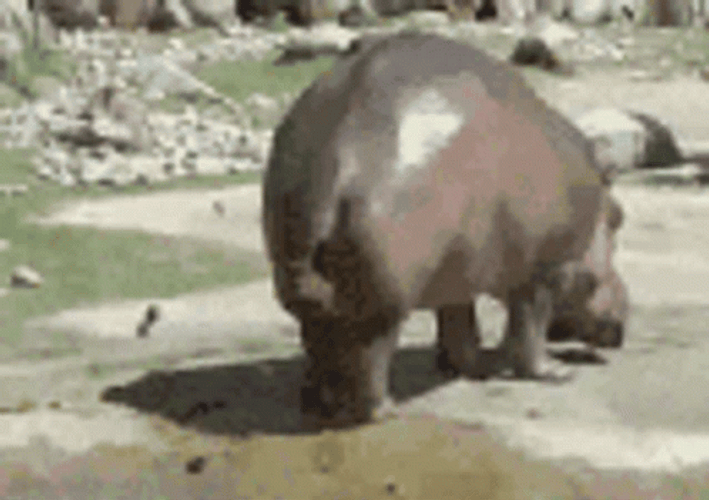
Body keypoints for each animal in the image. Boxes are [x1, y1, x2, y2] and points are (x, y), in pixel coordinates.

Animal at [263, 32, 624, 428]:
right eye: (619, 217)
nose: (622, 322)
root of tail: (334, 161)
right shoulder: (545, 271)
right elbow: (529, 329)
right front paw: (554, 372)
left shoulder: (458, 270)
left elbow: (459, 328)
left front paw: (476, 365)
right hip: (386, 301)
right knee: (371, 355)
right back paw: (387, 411)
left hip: (309, 291)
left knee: (319, 343)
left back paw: (319, 404)